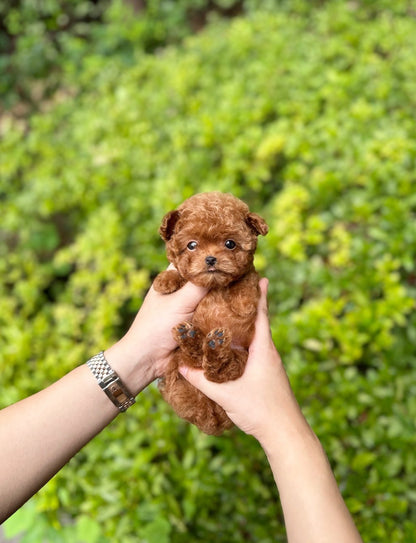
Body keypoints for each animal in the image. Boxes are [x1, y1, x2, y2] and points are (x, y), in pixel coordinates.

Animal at [154, 193, 268, 436]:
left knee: (216, 372)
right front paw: (164, 281)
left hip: (241, 359)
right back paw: (192, 338)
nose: (210, 259)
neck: (214, 286)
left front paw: (243, 303)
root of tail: (211, 418)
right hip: (178, 361)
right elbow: (180, 274)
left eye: (230, 244)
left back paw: (214, 346)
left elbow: (245, 279)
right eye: (192, 245)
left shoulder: (248, 275)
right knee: (196, 359)